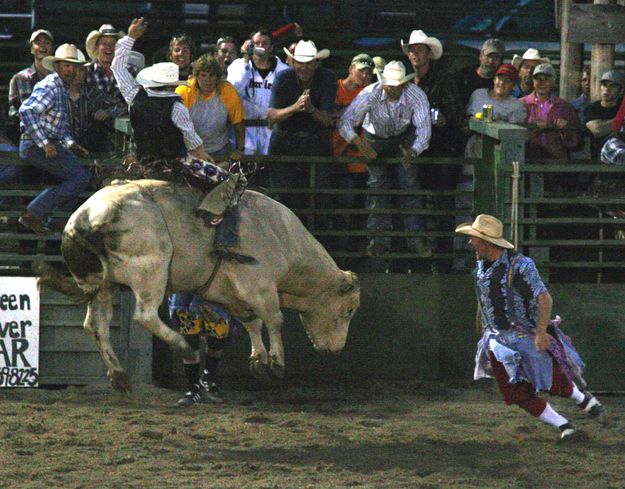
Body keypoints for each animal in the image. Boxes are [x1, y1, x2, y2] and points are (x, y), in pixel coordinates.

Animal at [41, 181, 358, 390]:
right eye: (348, 311)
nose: (337, 348)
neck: (283, 237)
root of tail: (84, 219)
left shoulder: (230, 295)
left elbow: (252, 323)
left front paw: (258, 361)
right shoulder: (260, 286)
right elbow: (274, 319)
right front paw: (277, 362)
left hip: (100, 283)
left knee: (96, 325)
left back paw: (119, 376)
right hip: (152, 269)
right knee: (145, 315)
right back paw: (183, 346)